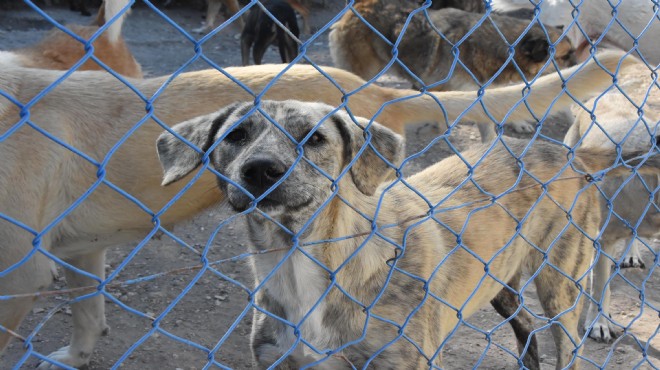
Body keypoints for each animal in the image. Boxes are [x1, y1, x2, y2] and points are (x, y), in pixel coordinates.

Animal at [157, 99, 656, 368]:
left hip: (562, 285)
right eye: (236, 135)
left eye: (314, 138)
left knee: (566, 343)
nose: (261, 170)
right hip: (501, 284)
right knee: (527, 329)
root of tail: (571, 154)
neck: (303, 261)